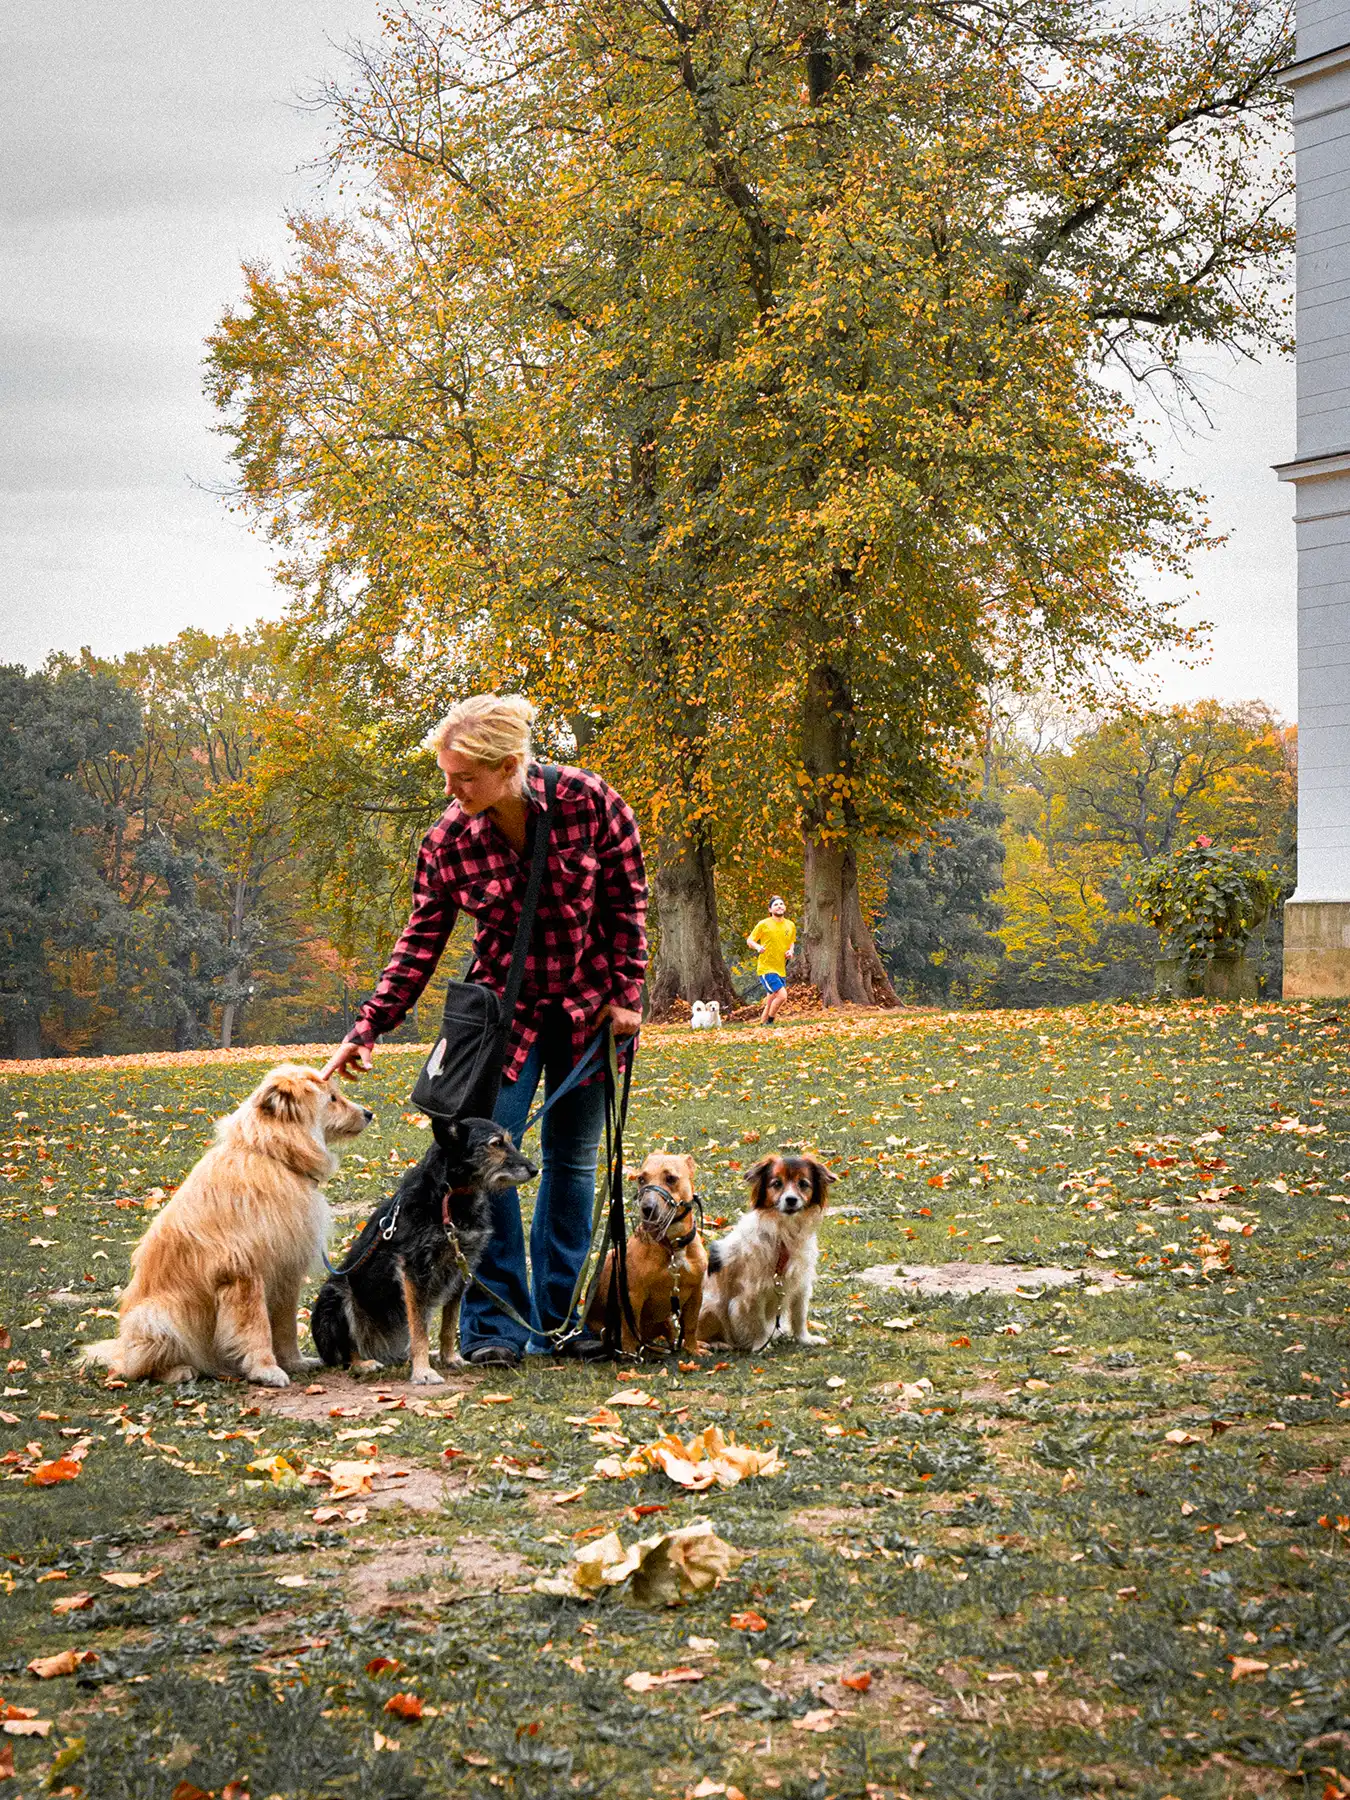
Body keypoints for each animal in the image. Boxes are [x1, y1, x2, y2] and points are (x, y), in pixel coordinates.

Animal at [311, 1116, 540, 1382]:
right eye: (496, 1143)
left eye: (510, 1141)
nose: (535, 1169)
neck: (450, 1198)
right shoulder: (414, 1270)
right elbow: (419, 1330)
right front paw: (422, 1371)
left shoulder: (460, 1270)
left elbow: (448, 1326)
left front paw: (449, 1358)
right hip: (336, 1296)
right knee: (346, 1354)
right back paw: (364, 1363)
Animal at [586, 1152, 709, 1353]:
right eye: (641, 1179)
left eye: (671, 1178)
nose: (647, 1209)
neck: (672, 1245)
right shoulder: (633, 1296)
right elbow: (629, 1330)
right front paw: (628, 1354)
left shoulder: (696, 1293)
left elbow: (691, 1326)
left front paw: (693, 1349)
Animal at [702, 1152, 842, 1353]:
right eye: (777, 1183)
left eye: (803, 1184)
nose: (791, 1199)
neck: (784, 1235)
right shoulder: (754, 1291)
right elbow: (758, 1321)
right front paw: (761, 1345)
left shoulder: (801, 1284)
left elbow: (799, 1316)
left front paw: (805, 1339)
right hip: (711, 1307)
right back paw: (716, 1343)